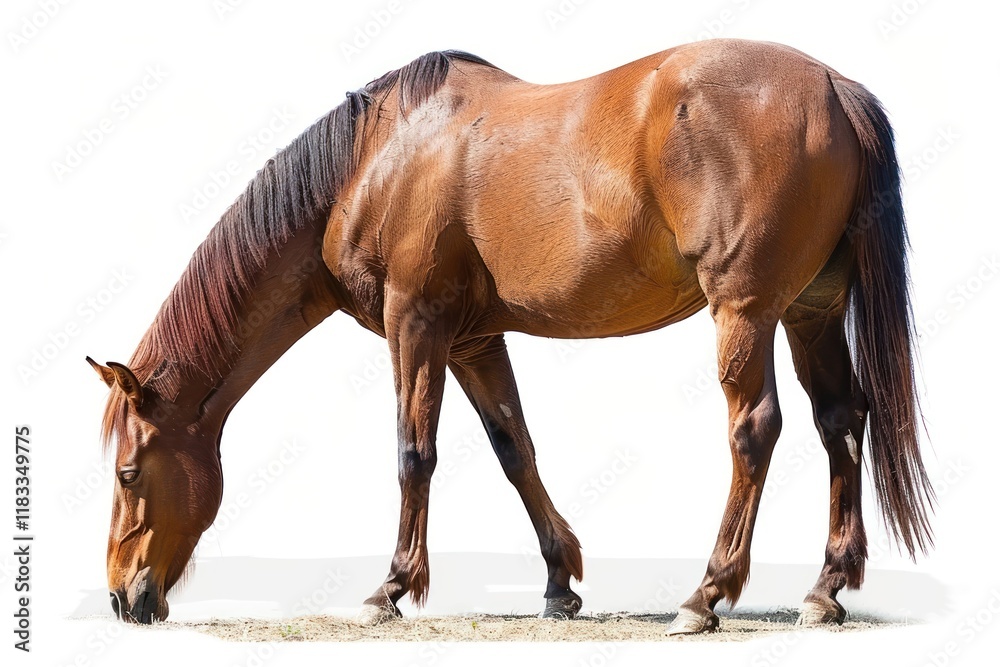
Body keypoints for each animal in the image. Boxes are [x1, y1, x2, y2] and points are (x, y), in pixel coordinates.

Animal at [88, 38, 933, 634]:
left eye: (129, 472)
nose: (124, 597)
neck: (375, 160)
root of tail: (837, 91)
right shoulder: (472, 341)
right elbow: (513, 448)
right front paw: (560, 581)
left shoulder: (415, 323)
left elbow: (414, 453)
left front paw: (390, 587)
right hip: (809, 311)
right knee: (840, 422)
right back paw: (824, 589)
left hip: (747, 310)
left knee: (756, 430)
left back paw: (706, 592)